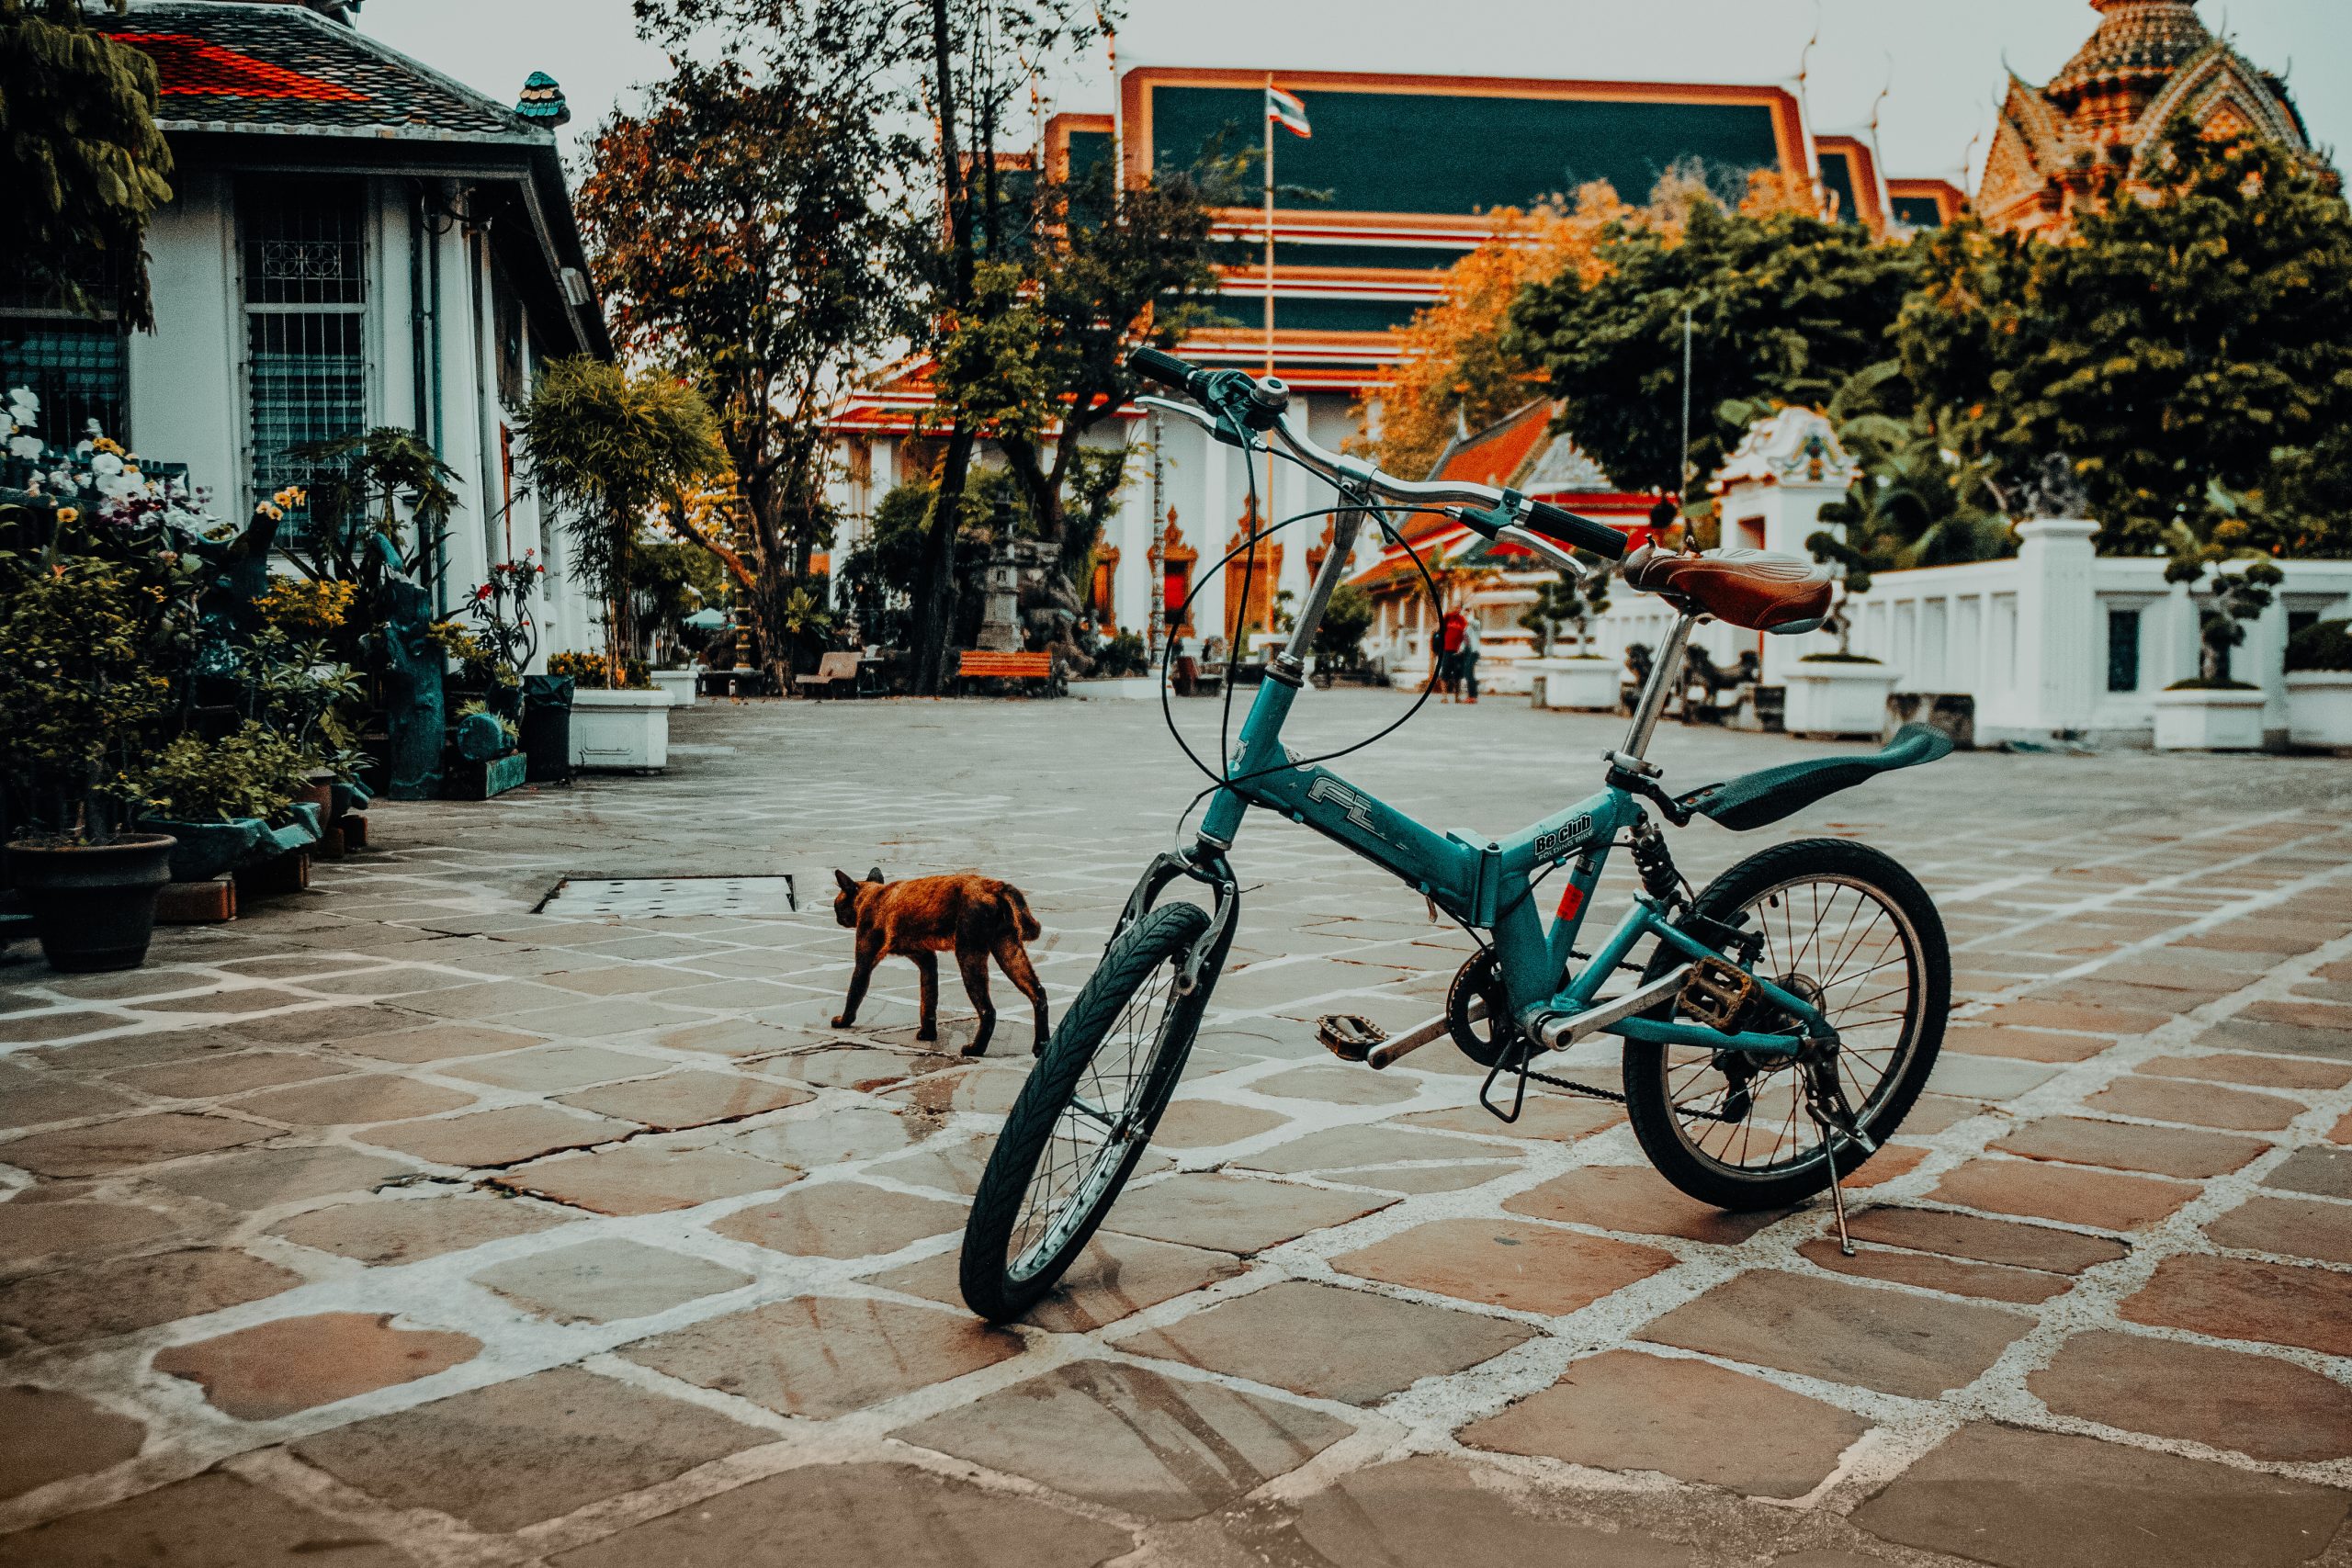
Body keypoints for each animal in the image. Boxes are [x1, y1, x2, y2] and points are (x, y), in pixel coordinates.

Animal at [828, 864, 1048, 1062]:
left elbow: (854, 994)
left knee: (988, 1010)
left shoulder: (864, 962)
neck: (872, 895)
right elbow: (928, 1001)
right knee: (1038, 994)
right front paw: (928, 1034)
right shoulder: (926, 960)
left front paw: (843, 1021)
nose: (837, 918)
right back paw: (1042, 1046)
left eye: (836, 905)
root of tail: (995, 886)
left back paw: (975, 1049)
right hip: (1008, 952)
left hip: (970, 956)